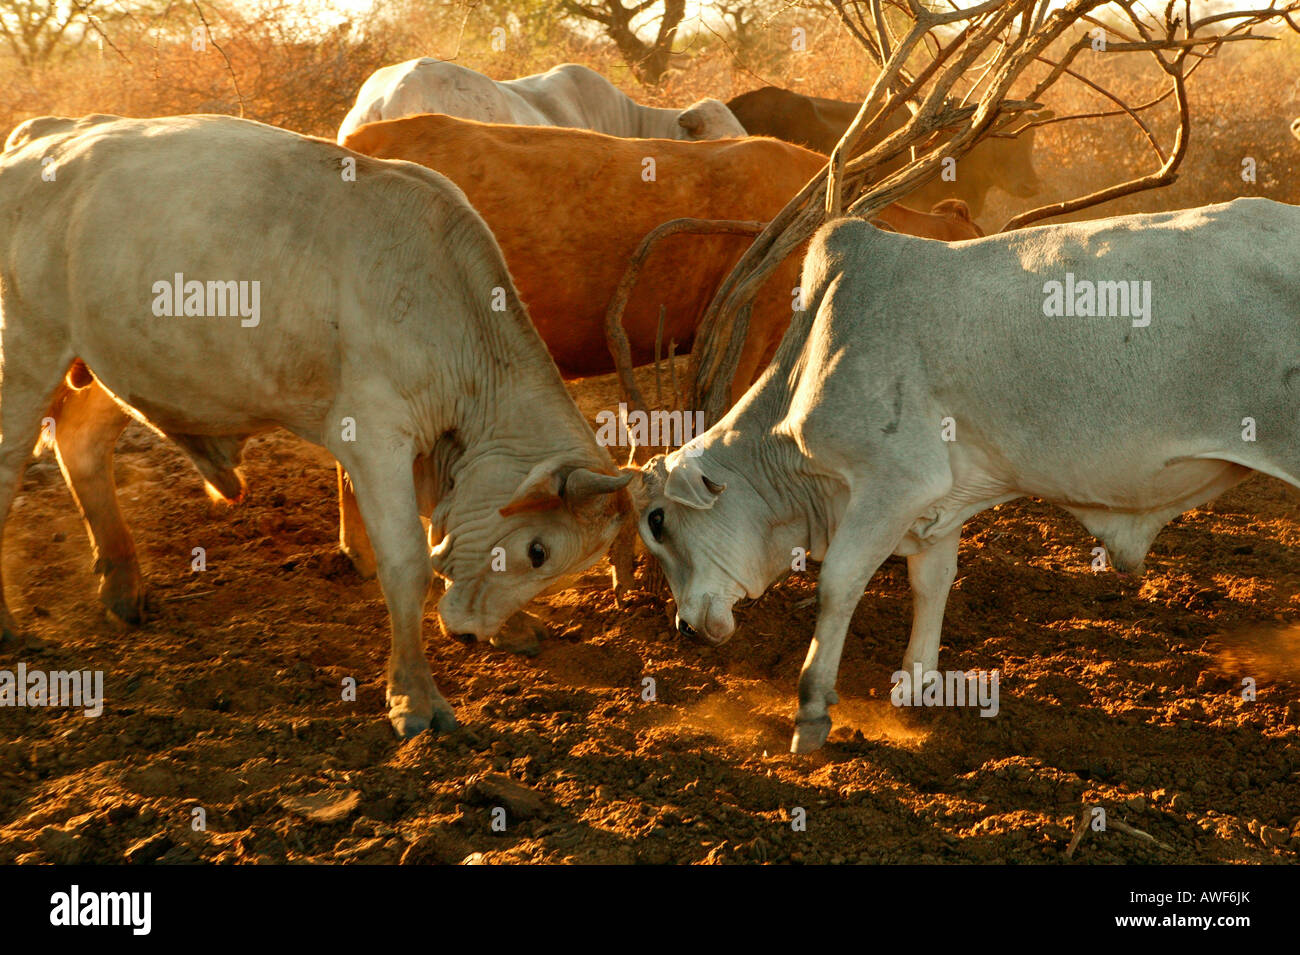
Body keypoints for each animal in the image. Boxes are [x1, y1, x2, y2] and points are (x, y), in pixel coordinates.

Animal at [0, 114, 631, 738]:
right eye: (538, 551)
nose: (471, 633)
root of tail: (47, 132)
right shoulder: (378, 437)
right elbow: (406, 565)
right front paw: (414, 694)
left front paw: (513, 627)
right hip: (28, 353)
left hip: (123, 362)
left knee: (81, 444)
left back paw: (123, 586)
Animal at [635, 197, 1300, 754]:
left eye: (657, 521)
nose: (685, 628)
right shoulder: (939, 502)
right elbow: (932, 584)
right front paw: (915, 688)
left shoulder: (893, 483)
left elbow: (837, 586)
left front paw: (812, 715)